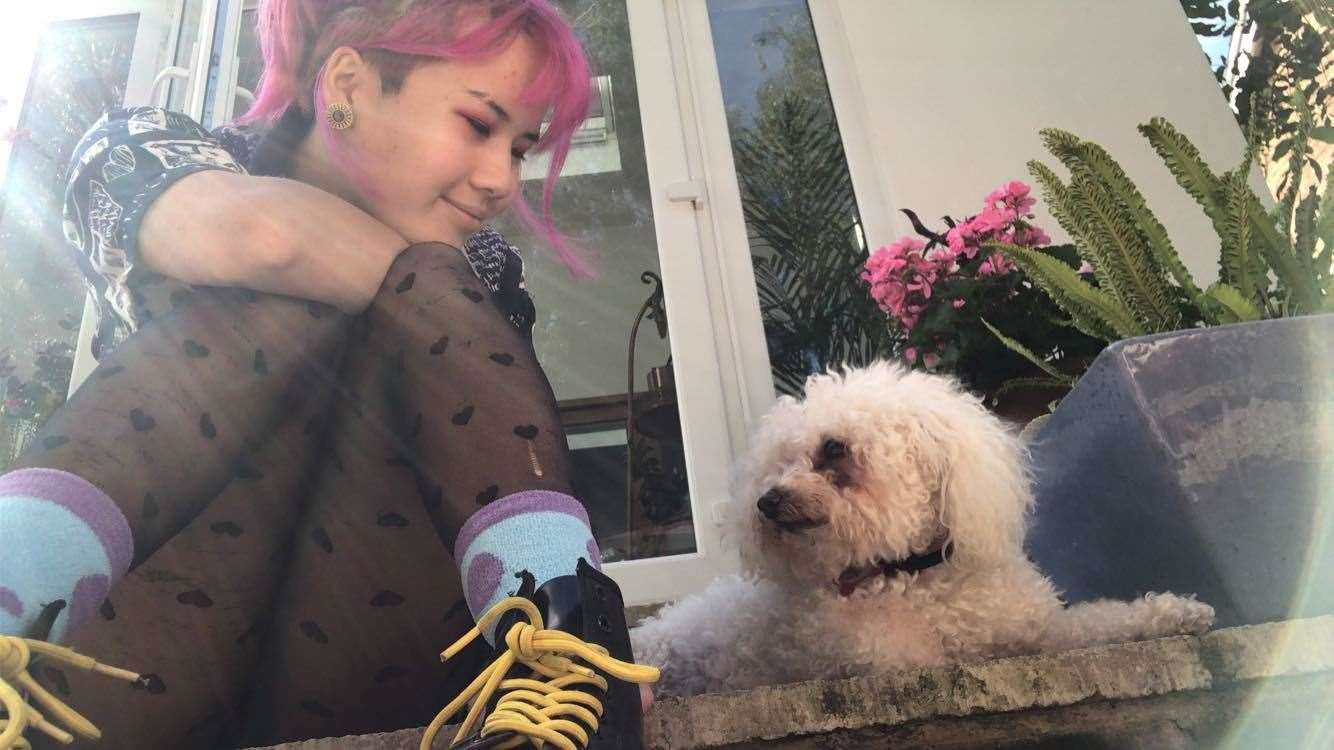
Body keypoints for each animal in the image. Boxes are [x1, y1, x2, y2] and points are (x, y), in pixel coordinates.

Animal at [629, 362, 1216, 693]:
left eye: (833, 449)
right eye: (778, 462)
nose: (766, 502)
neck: (915, 573)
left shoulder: (1040, 629)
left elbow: (1098, 621)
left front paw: (1173, 612)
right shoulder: (876, 658)